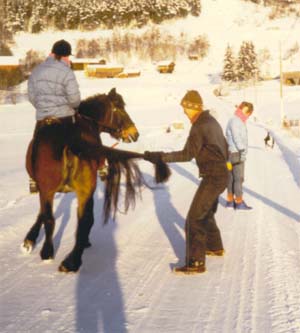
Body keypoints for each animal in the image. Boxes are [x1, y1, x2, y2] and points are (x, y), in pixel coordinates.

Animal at [21, 87, 169, 272]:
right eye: (119, 109)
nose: (135, 134)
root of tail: (69, 141)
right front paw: (29, 239)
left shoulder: (47, 189)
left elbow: (44, 214)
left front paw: (30, 239)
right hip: (71, 190)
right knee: (78, 220)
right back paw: (69, 258)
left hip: (59, 189)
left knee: (60, 219)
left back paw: (56, 255)